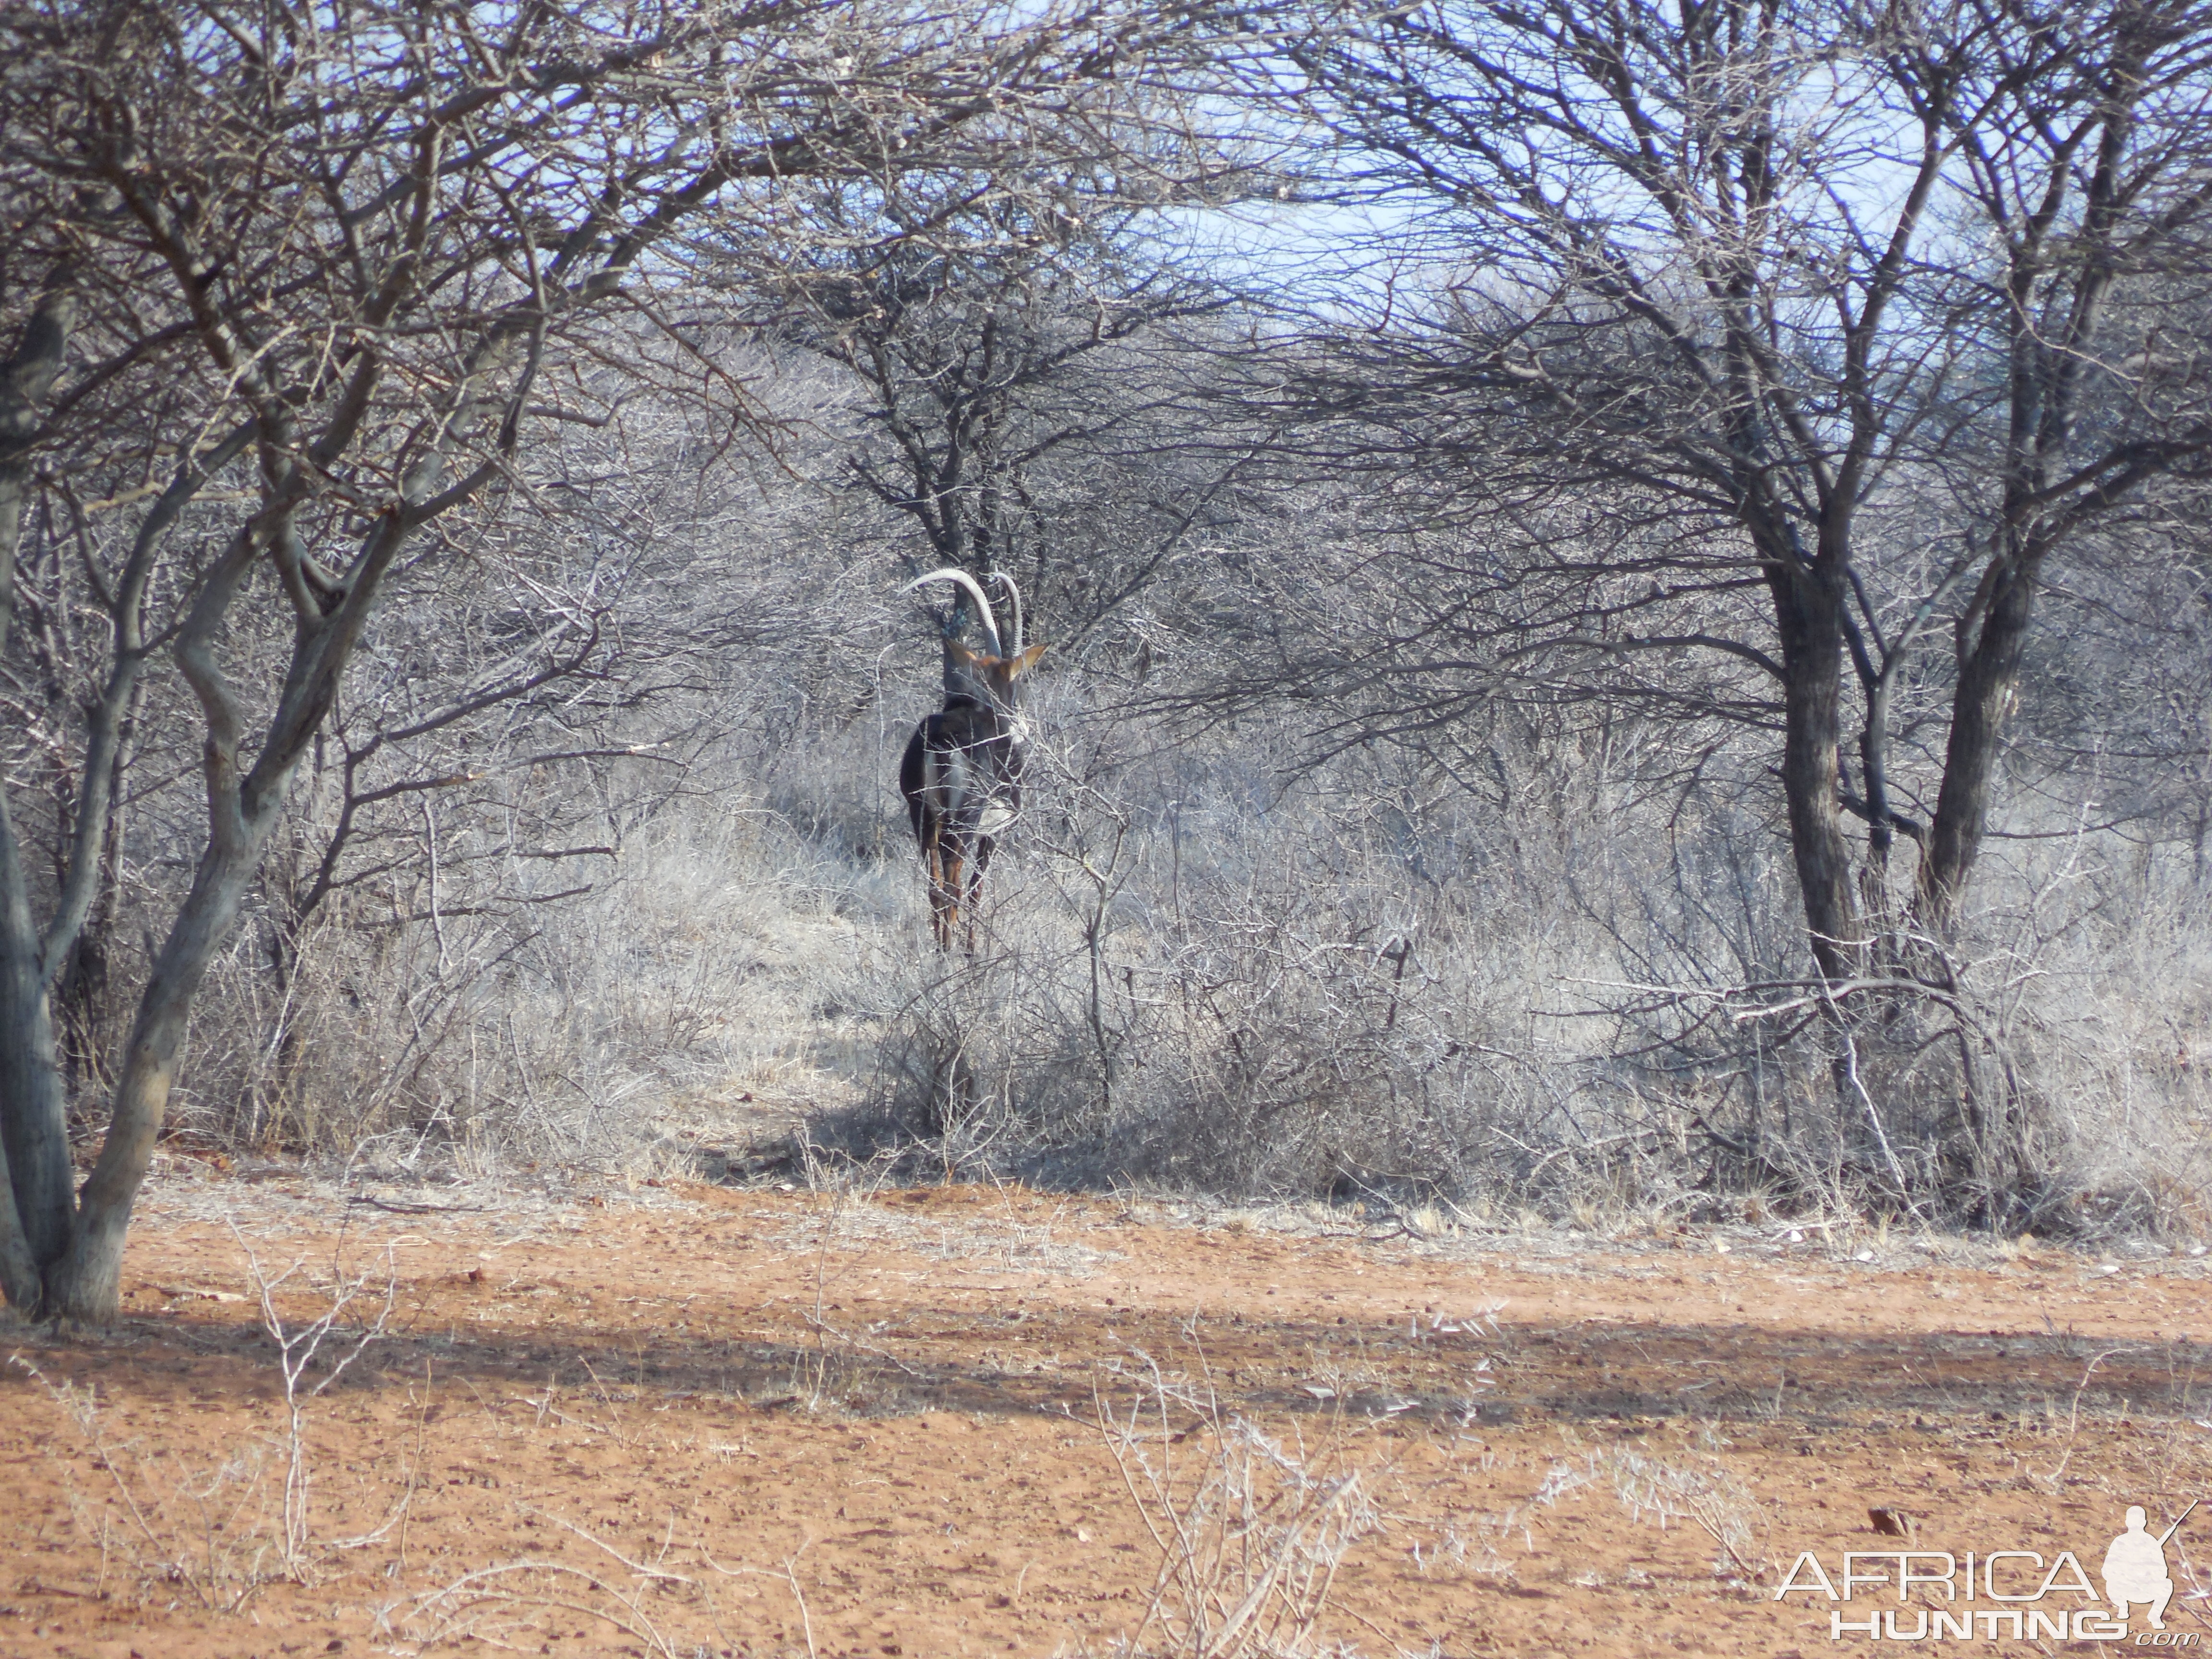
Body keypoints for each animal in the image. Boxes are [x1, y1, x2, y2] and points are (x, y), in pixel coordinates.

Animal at [893, 570, 1039, 947]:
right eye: (1017, 684)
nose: (1023, 727)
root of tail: (943, 741)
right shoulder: (995, 831)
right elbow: (977, 890)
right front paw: (973, 949)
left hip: (923, 814)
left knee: (935, 886)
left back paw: (941, 950)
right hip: (964, 821)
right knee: (953, 887)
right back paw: (952, 951)